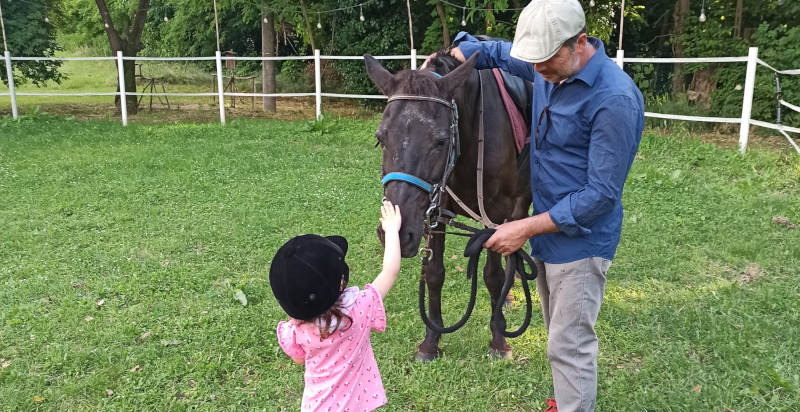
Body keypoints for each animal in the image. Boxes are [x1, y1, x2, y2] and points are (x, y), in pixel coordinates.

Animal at [365, 49, 534, 361]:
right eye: (380, 138)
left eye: (441, 141)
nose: (397, 233)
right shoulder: (435, 213)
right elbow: (433, 274)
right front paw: (431, 341)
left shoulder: (494, 215)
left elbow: (492, 275)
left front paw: (498, 340)